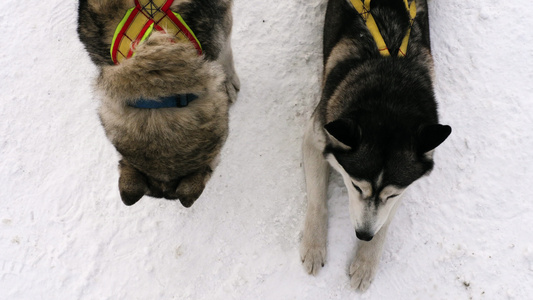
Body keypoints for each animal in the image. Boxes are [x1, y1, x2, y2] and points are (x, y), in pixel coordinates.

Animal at [300, 0, 448, 292]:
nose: (363, 235)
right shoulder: (315, 137)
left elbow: (385, 222)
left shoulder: (404, 184)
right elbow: (317, 200)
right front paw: (313, 246)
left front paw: (366, 262)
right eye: (356, 186)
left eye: (390, 195)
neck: (390, 98)